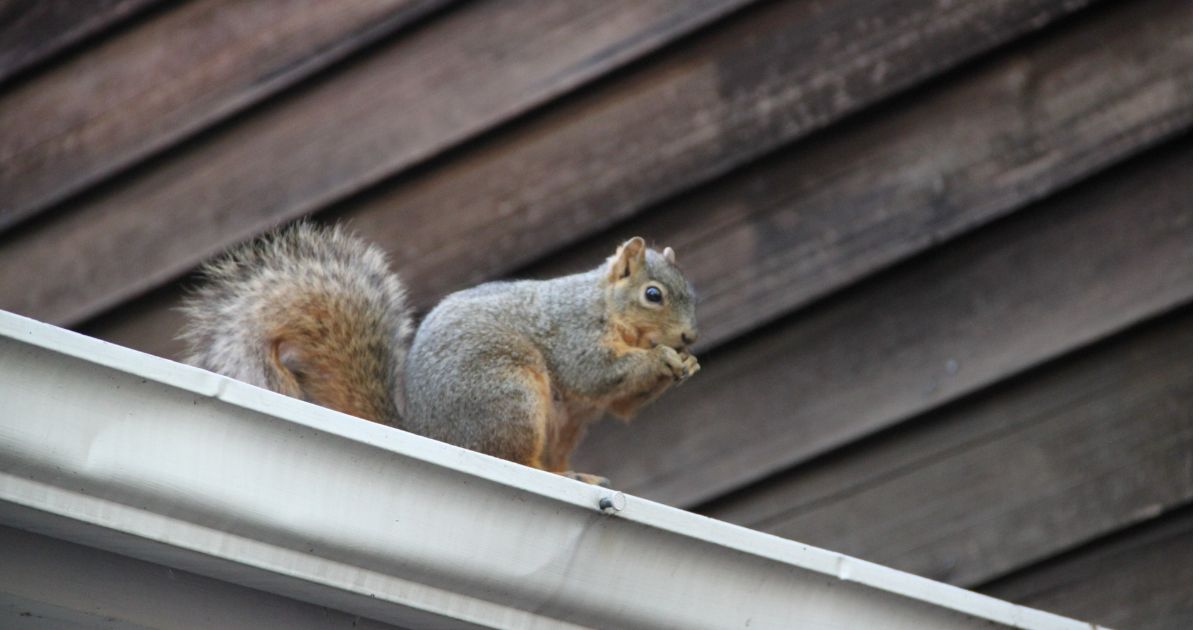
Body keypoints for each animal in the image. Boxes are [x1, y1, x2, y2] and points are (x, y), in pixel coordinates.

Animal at [181, 222, 700, 487]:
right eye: (653, 294)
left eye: (692, 293)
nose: (690, 337)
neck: (605, 306)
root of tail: (429, 433)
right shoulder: (573, 331)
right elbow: (596, 373)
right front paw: (663, 359)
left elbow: (621, 404)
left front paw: (686, 366)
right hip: (508, 395)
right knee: (512, 458)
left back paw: (576, 475)